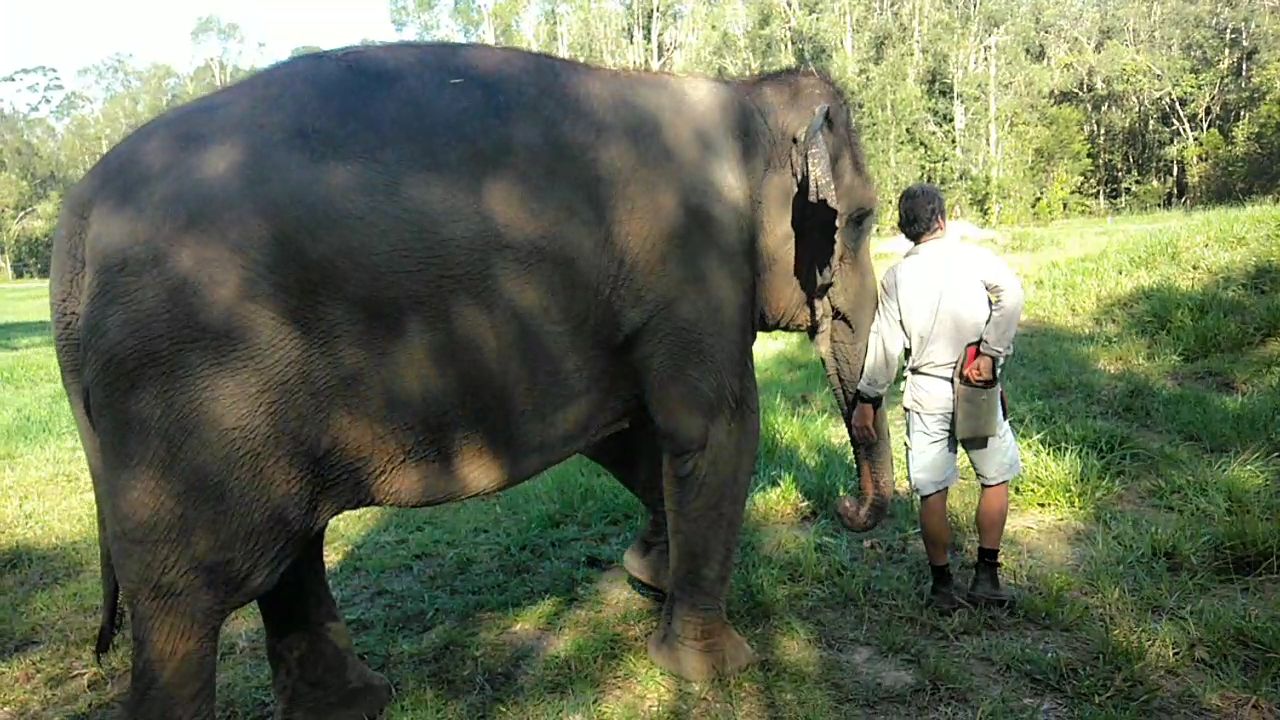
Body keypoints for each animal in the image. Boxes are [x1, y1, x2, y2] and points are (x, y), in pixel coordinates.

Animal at [49, 41, 894, 719]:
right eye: (858, 222)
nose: (847, 508)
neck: (740, 98)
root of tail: (75, 223)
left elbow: (629, 432)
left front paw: (649, 575)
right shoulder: (695, 268)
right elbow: (712, 431)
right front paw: (716, 670)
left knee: (289, 552)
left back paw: (356, 705)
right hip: (190, 394)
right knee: (194, 598)